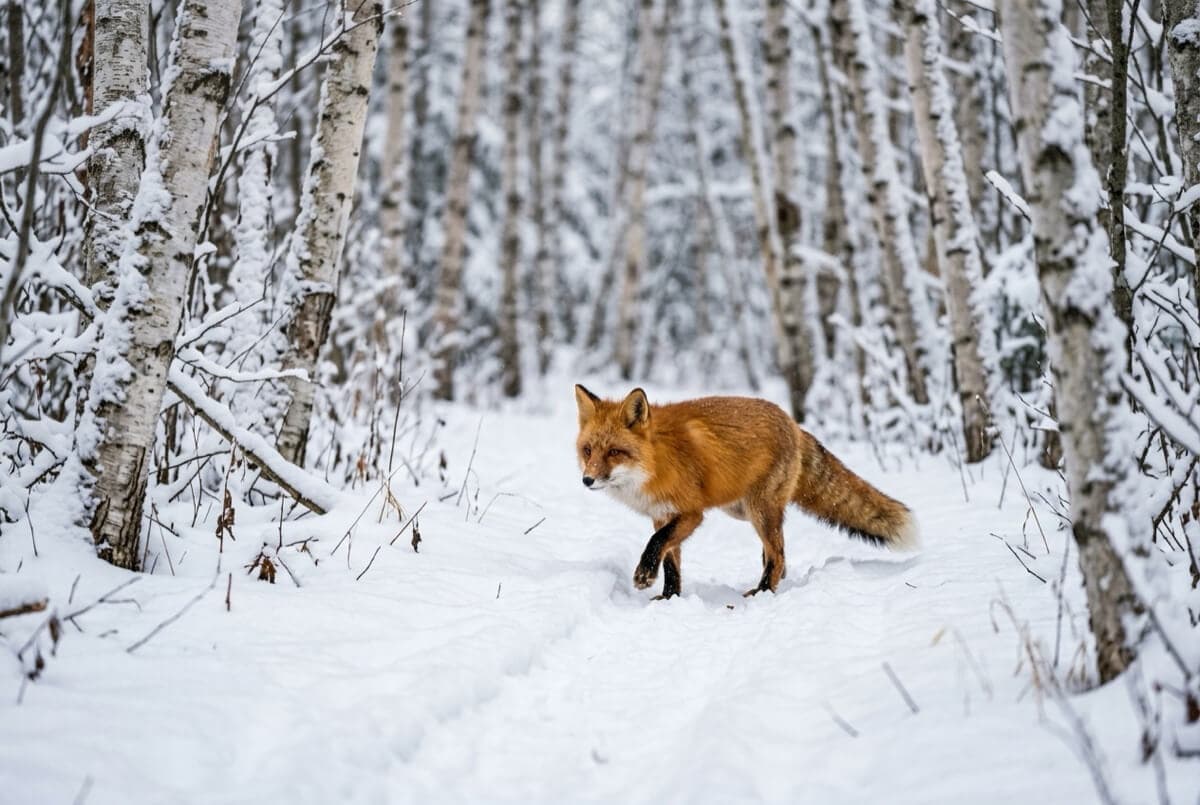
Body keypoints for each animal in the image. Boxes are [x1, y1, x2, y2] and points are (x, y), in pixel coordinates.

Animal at [574, 385, 918, 599]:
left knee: (777, 554)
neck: (656, 460)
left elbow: (656, 544)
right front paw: (669, 597)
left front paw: (645, 575)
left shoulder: (691, 513)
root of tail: (794, 424)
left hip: (759, 510)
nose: (587, 480)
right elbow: (671, 562)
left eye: (615, 452)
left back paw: (764, 591)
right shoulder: (662, 514)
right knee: (775, 551)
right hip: (745, 511)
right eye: (588, 450)